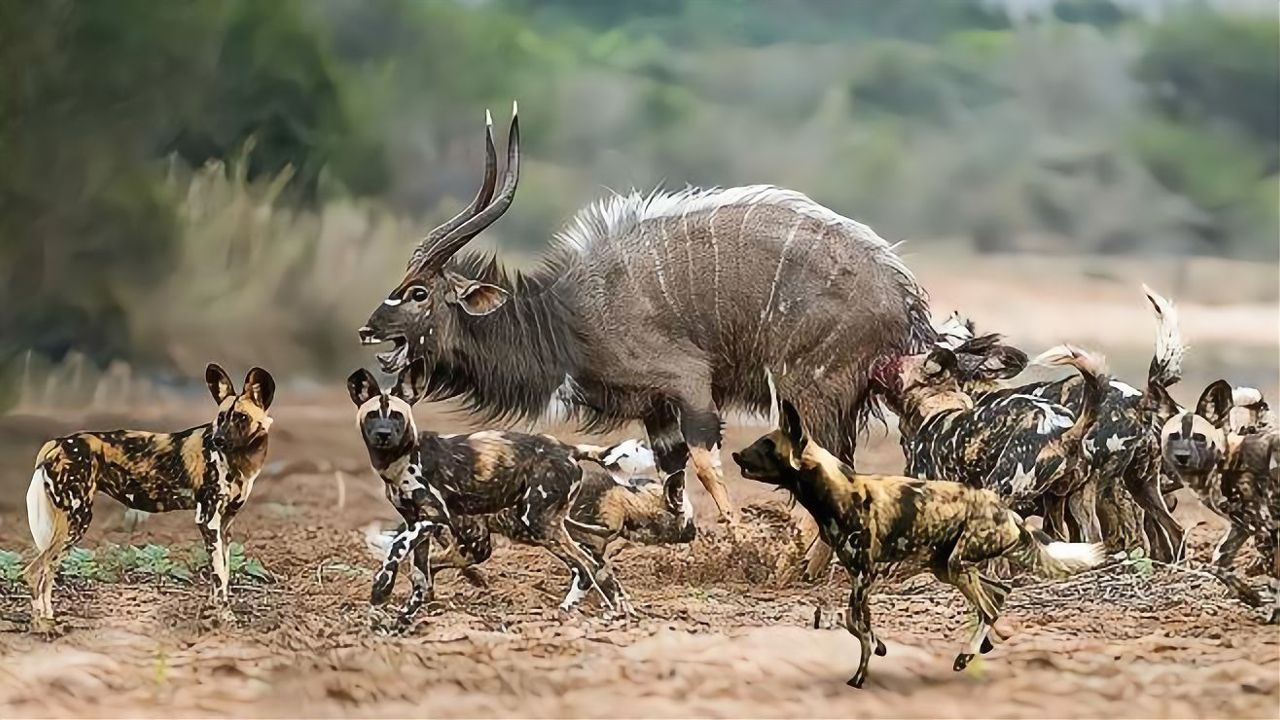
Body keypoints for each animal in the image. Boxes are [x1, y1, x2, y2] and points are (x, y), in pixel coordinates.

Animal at [25, 363, 275, 627]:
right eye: (221, 417)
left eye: (241, 417)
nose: (218, 440)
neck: (241, 462)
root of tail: (59, 442)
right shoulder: (208, 521)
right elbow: (218, 578)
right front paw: (225, 617)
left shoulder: (224, 526)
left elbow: (225, 576)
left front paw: (215, 611)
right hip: (77, 520)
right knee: (34, 572)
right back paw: (43, 627)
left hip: (68, 523)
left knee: (46, 572)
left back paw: (49, 619)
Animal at [350, 356, 629, 625]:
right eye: (373, 415)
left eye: (396, 416)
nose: (384, 434)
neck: (403, 459)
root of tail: (569, 449)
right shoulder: (416, 523)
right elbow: (419, 577)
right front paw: (401, 619)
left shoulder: (432, 518)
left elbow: (397, 548)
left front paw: (382, 590)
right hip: (503, 538)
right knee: (594, 566)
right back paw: (615, 613)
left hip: (535, 523)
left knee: (586, 566)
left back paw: (587, 612)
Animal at [737, 397, 1105, 681]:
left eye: (766, 447)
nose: (736, 455)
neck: (839, 494)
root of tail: (1006, 511)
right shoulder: (860, 579)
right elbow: (855, 622)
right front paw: (878, 646)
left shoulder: (865, 575)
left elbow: (854, 622)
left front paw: (861, 673)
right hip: (947, 566)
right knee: (998, 592)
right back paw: (984, 644)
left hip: (956, 564)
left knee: (988, 608)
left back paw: (966, 655)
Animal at [1162, 381, 1280, 622]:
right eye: (1173, 436)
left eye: (1200, 437)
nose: (1182, 457)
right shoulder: (1241, 528)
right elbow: (1217, 564)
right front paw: (1248, 595)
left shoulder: (1266, 531)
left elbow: (1275, 582)